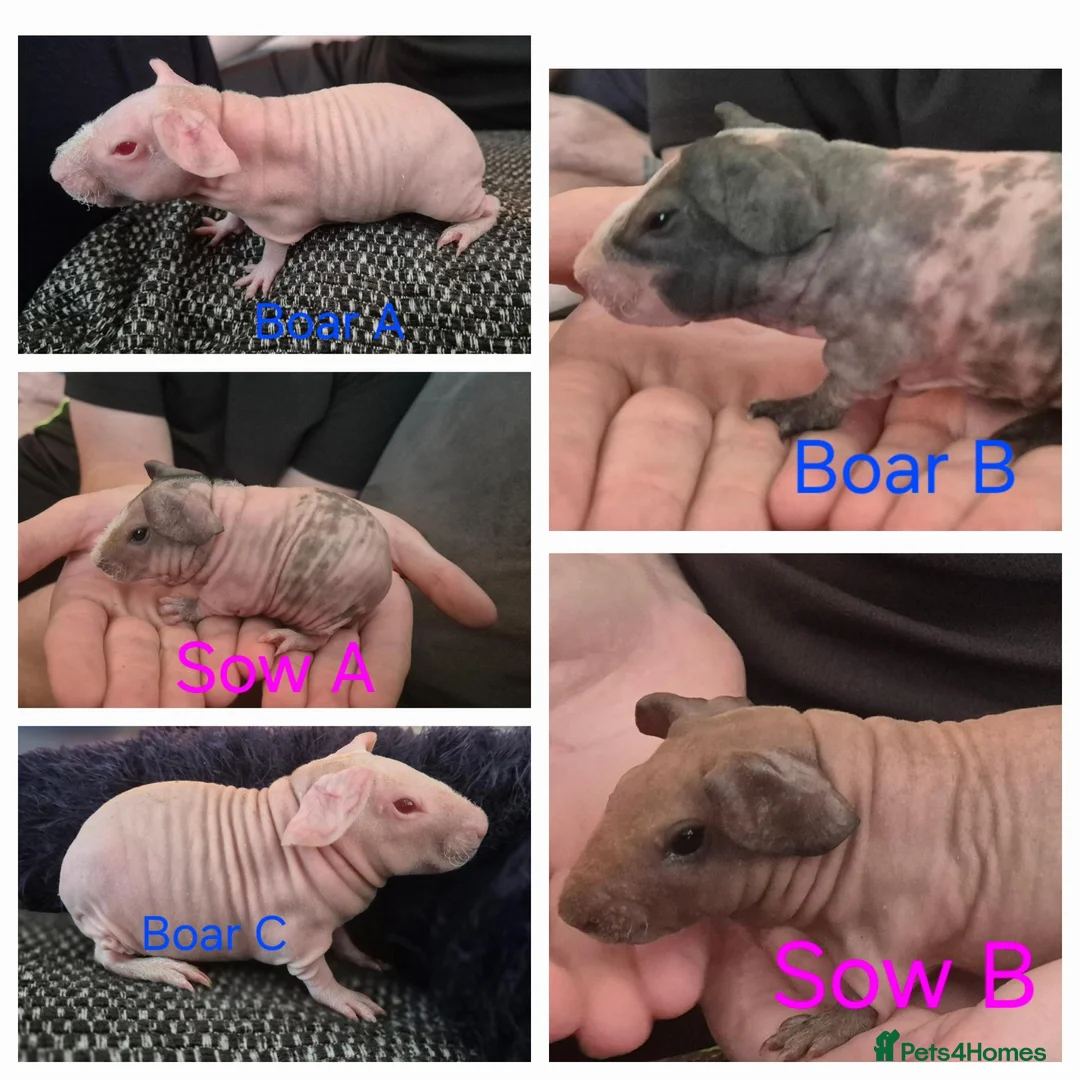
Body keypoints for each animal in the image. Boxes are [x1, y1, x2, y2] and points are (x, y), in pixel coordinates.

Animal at [50, 58, 500, 298]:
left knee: (489, 206)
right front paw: (224, 226)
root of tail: (470, 141)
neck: (218, 119)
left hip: (442, 189)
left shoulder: (280, 211)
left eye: (125, 148)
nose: (55, 173)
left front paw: (261, 272)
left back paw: (465, 229)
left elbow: (276, 245)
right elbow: (234, 216)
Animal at [58, 731, 489, 1020]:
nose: (484, 826)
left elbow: (342, 936)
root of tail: (66, 880)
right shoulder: (296, 931)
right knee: (107, 957)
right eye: (406, 805)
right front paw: (346, 996)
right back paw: (165, 967)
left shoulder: (331, 917)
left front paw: (361, 957)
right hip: (108, 918)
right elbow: (315, 973)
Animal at [91, 460, 392, 656]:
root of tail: (382, 586)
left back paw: (289, 638)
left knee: (319, 640)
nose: (97, 562)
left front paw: (180, 606)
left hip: (323, 610)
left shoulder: (236, 586)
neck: (215, 510)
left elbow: (212, 602)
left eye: (139, 534)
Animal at [559, 694, 1061, 1061]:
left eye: (686, 839)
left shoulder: (887, 925)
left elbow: (873, 996)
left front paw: (814, 1028)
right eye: (621, 787)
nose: (569, 914)